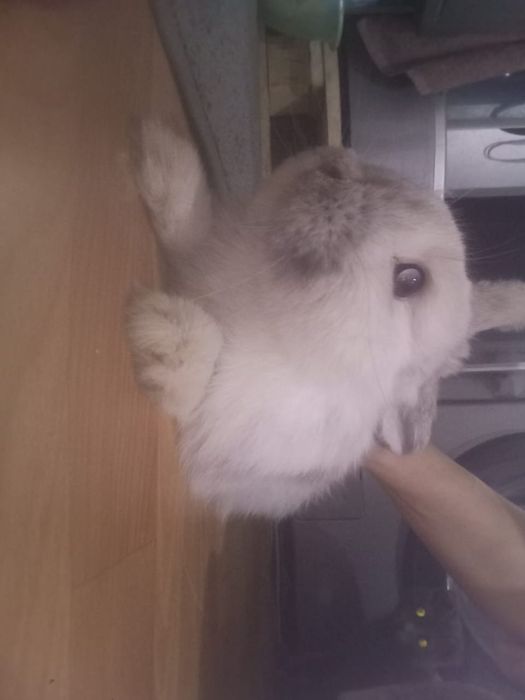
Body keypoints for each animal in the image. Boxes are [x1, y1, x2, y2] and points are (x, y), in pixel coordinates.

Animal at [127, 122, 523, 518]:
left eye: (410, 280)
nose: (335, 171)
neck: (268, 316)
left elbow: (199, 370)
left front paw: (160, 333)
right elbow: (187, 224)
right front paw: (162, 153)